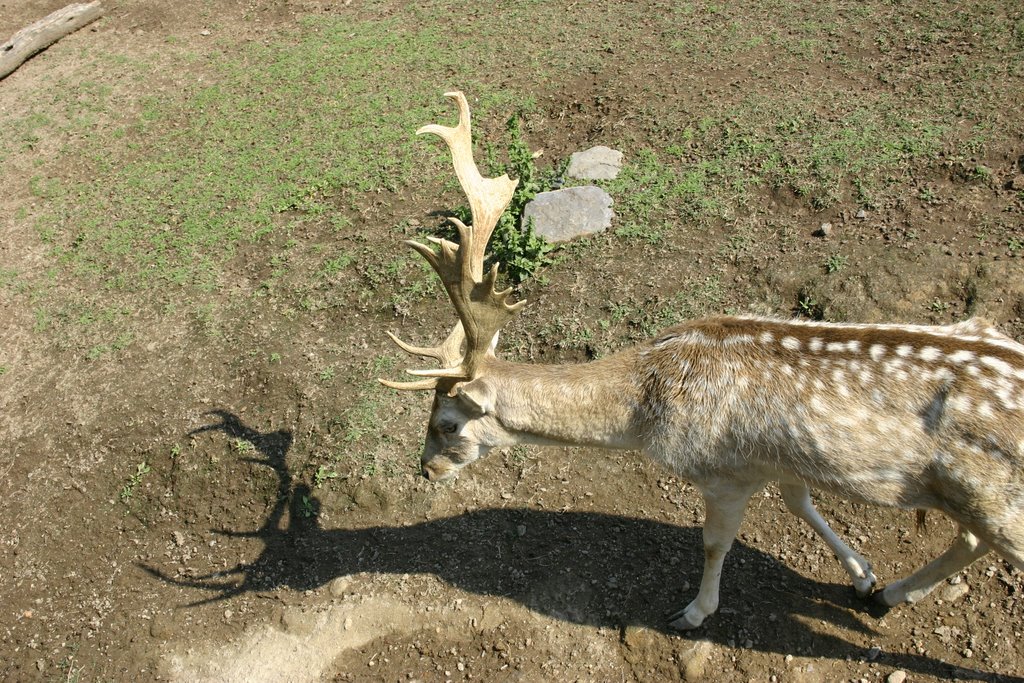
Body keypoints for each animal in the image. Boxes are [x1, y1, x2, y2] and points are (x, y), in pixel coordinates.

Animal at [382, 90, 1024, 630]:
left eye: (446, 424)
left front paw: (693, 612)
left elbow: (715, 542)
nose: (426, 470)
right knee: (969, 540)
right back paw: (892, 594)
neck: (646, 414)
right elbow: (800, 502)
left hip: (1000, 503)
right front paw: (864, 575)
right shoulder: (779, 461)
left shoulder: (724, 472)